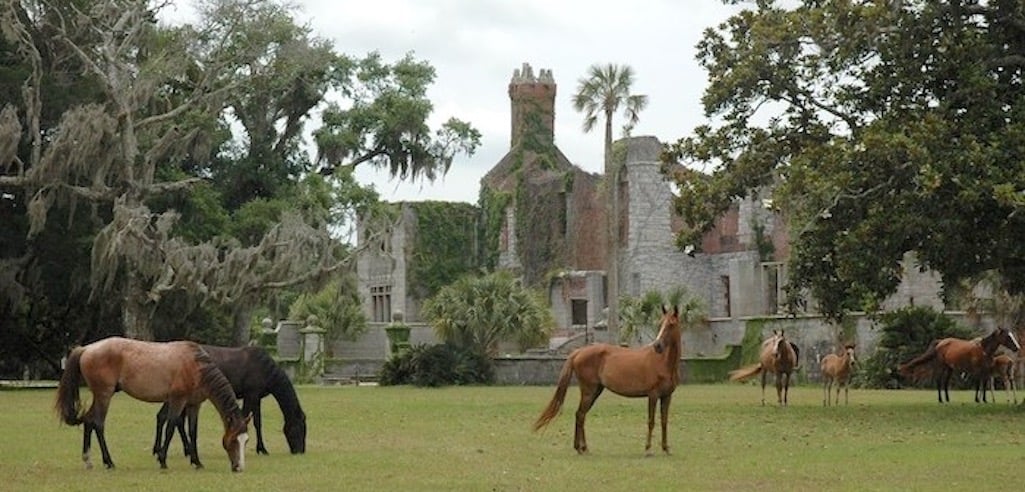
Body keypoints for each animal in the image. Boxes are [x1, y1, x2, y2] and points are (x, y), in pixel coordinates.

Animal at [54, 336, 252, 471]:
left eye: (246, 441)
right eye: (233, 440)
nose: (239, 467)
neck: (195, 366)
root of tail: (87, 349)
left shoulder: (194, 405)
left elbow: (193, 432)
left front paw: (196, 461)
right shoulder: (177, 400)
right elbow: (171, 427)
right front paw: (163, 459)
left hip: (100, 395)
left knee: (88, 421)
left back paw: (88, 460)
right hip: (104, 395)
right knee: (98, 423)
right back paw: (109, 462)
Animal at [151, 344, 303, 455]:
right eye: (300, 427)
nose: (300, 451)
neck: (266, 371)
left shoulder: (256, 397)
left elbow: (258, 423)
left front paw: (261, 448)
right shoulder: (251, 395)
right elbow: (246, 417)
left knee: (174, 419)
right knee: (165, 417)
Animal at [533, 305, 684, 455]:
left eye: (671, 324)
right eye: (660, 323)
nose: (657, 346)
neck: (663, 363)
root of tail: (578, 352)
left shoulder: (666, 396)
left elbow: (664, 421)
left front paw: (666, 449)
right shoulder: (653, 395)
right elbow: (651, 421)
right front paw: (648, 449)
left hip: (595, 391)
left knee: (581, 415)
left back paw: (583, 448)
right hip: (589, 391)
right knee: (580, 415)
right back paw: (581, 448)